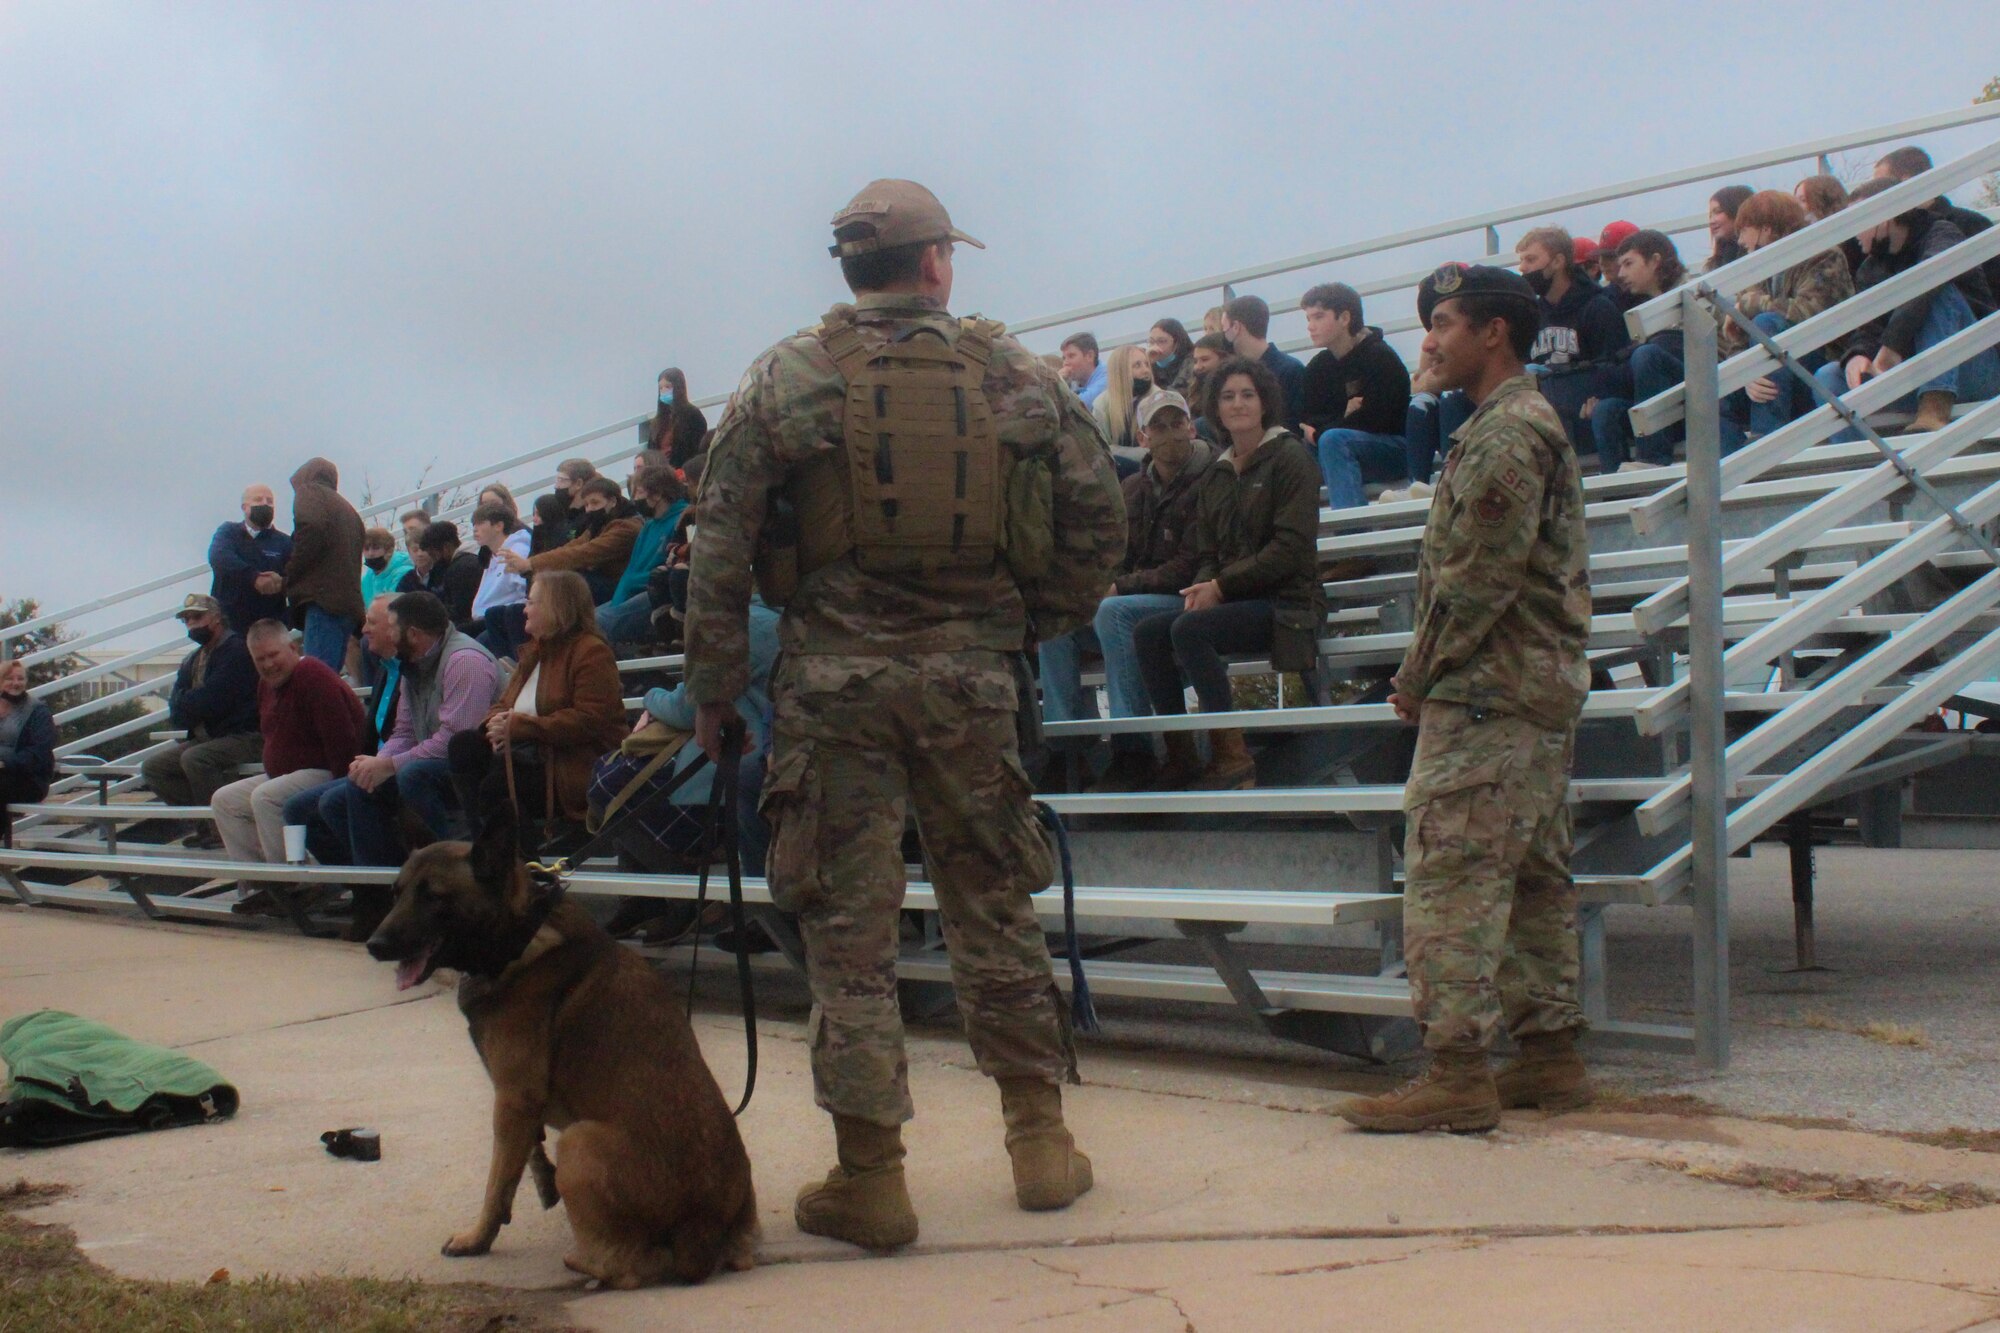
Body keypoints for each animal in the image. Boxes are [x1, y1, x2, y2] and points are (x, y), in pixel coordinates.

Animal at [368, 792, 756, 1280]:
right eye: (395, 893)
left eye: (433, 897)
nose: (374, 945)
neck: (519, 934)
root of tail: (700, 1233)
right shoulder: (520, 1104)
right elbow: (518, 1164)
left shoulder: (513, 1098)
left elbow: (496, 1182)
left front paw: (478, 1238)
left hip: (577, 1140)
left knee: (625, 1266)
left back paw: (582, 1260)